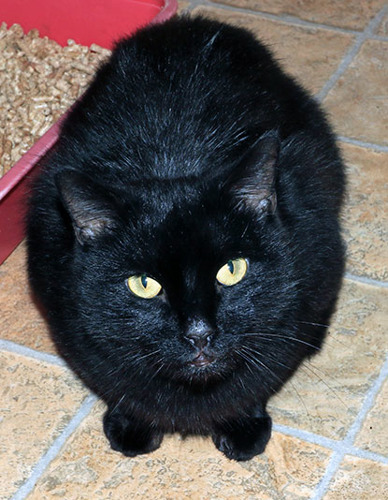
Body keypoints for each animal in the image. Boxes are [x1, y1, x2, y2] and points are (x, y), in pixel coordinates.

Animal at [26, 15, 346, 460]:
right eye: (144, 284)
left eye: (232, 270)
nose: (199, 333)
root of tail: (198, 24)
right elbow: (122, 386)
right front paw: (132, 424)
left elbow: (256, 380)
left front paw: (242, 424)